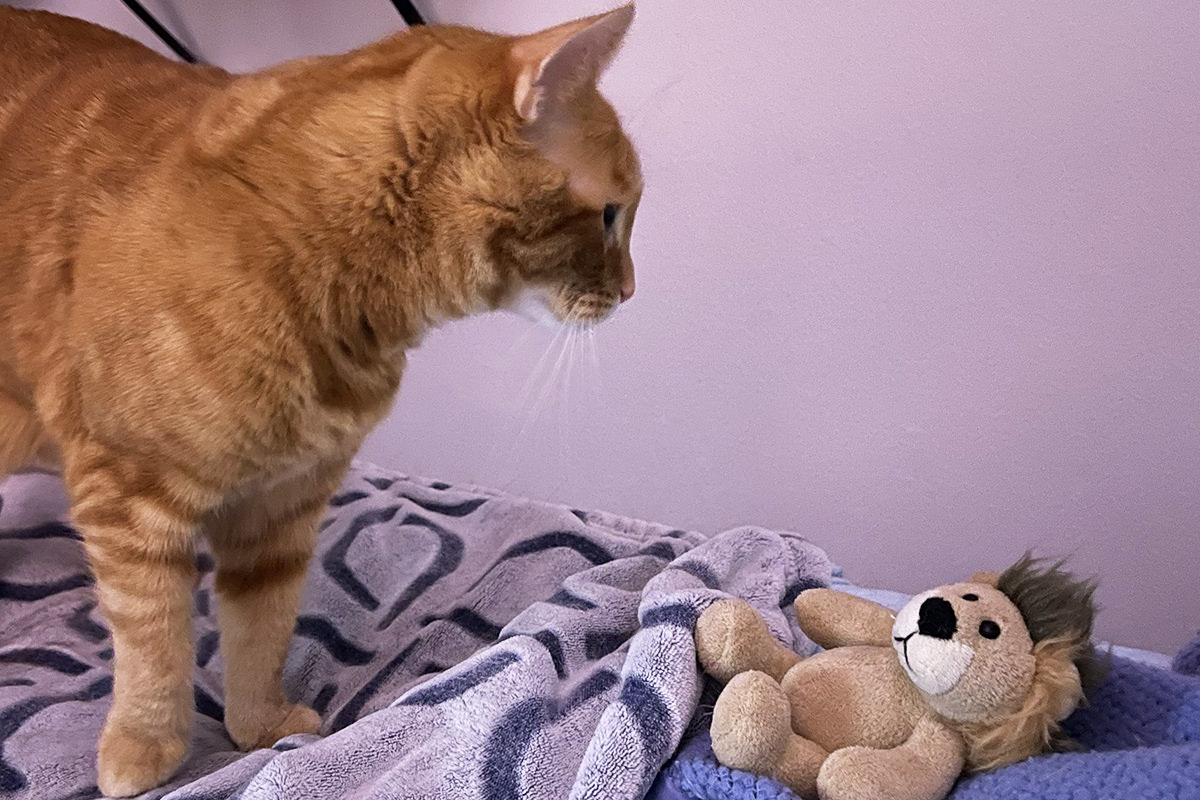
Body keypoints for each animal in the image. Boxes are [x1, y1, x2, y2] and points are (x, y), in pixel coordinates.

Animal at [0, 4, 643, 796]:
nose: (632, 290)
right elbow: (153, 641)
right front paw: (146, 752)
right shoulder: (126, 495)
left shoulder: (282, 507)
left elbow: (263, 628)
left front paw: (259, 730)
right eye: (610, 215)